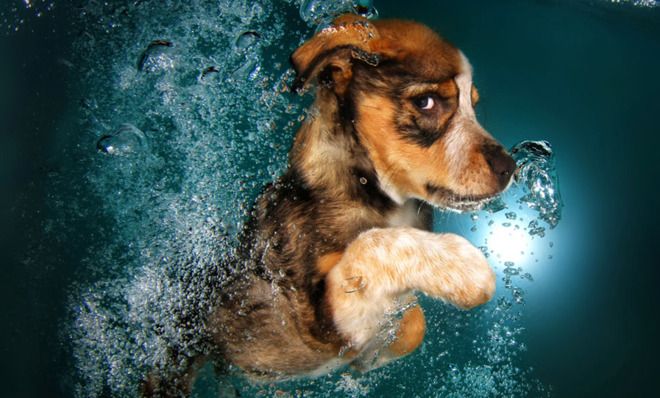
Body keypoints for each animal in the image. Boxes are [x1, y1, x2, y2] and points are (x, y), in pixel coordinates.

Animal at [143, 14, 516, 396]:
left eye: (473, 105)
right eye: (426, 102)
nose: (509, 168)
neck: (376, 194)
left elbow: (413, 321)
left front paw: (371, 357)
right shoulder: (319, 324)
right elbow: (372, 244)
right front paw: (460, 267)